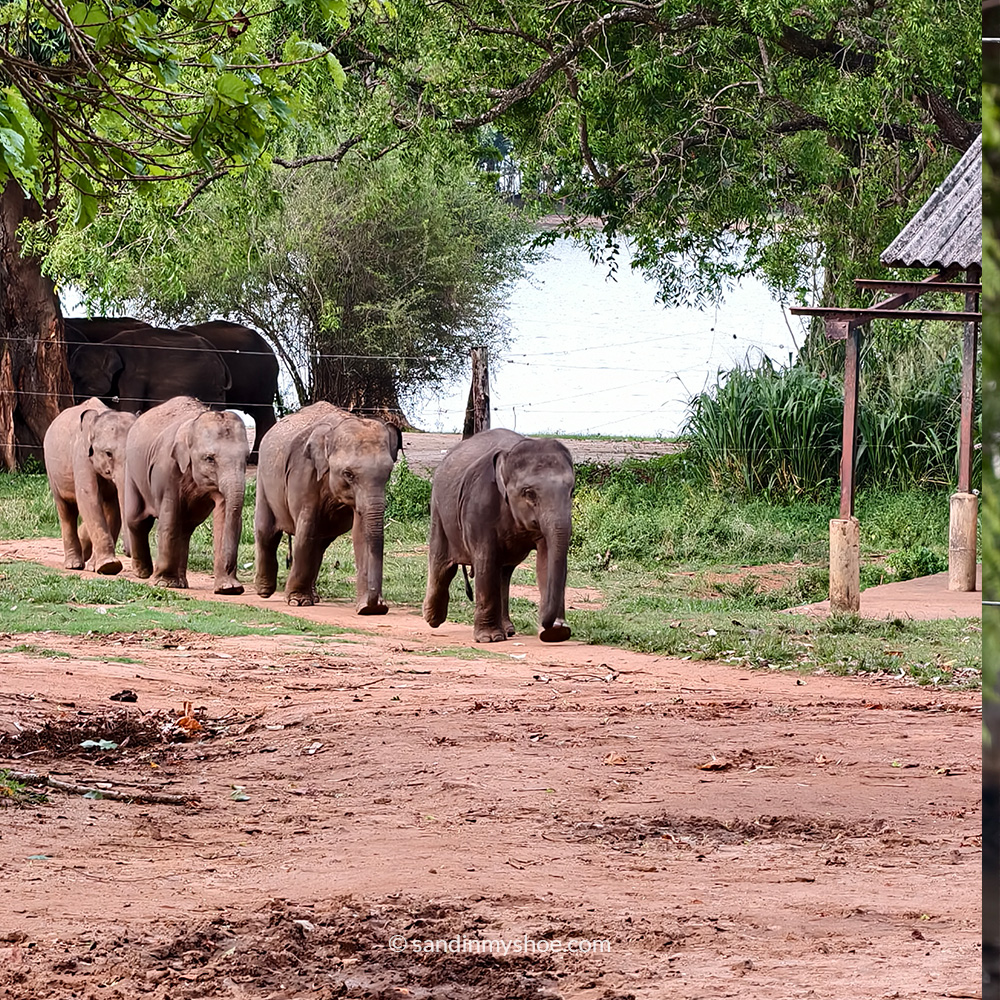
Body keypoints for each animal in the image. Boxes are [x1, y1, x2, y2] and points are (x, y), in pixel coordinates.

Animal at [42, 398, 137, 574]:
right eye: (108, 453)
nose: (127, 551)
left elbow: (112, 507)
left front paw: (98, 566)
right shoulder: (81, 455)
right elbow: (89, 498)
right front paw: (108, 566)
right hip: (52, 472)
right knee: (66, 511)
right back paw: (73, 564)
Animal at [123, 396, 248, 594]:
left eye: (247, 458)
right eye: (209, 458)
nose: (229, 567)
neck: (192, 425)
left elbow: (223, 515)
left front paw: (228, 588)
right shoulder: (166, 468)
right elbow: (170, 517)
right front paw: (164, 584)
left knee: (185, 528)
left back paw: (180, 582)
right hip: (132, 471)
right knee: (136, 520)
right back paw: (143, 573)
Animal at [253, 401, 402, 612]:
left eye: (388, 472)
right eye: (348, 474)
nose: (377, 605)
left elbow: (360, 533)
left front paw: (368, 609)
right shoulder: (303, 472)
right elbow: (306, 531)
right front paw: (297, 602)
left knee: (320, 543)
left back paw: (313, 597)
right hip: (264, 479)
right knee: (267, 532)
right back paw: (265, 591)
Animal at [423, 429, 575, 643]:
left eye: (572, 490)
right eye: (529, 493)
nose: (546, 624)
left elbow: (546, 559)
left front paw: (556, 633)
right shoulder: (479, 504)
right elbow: (486, 559)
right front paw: (489, 638)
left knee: (504, 572)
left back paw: (508, 630)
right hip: (438, 510)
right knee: (442, 564)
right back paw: (432, 618)